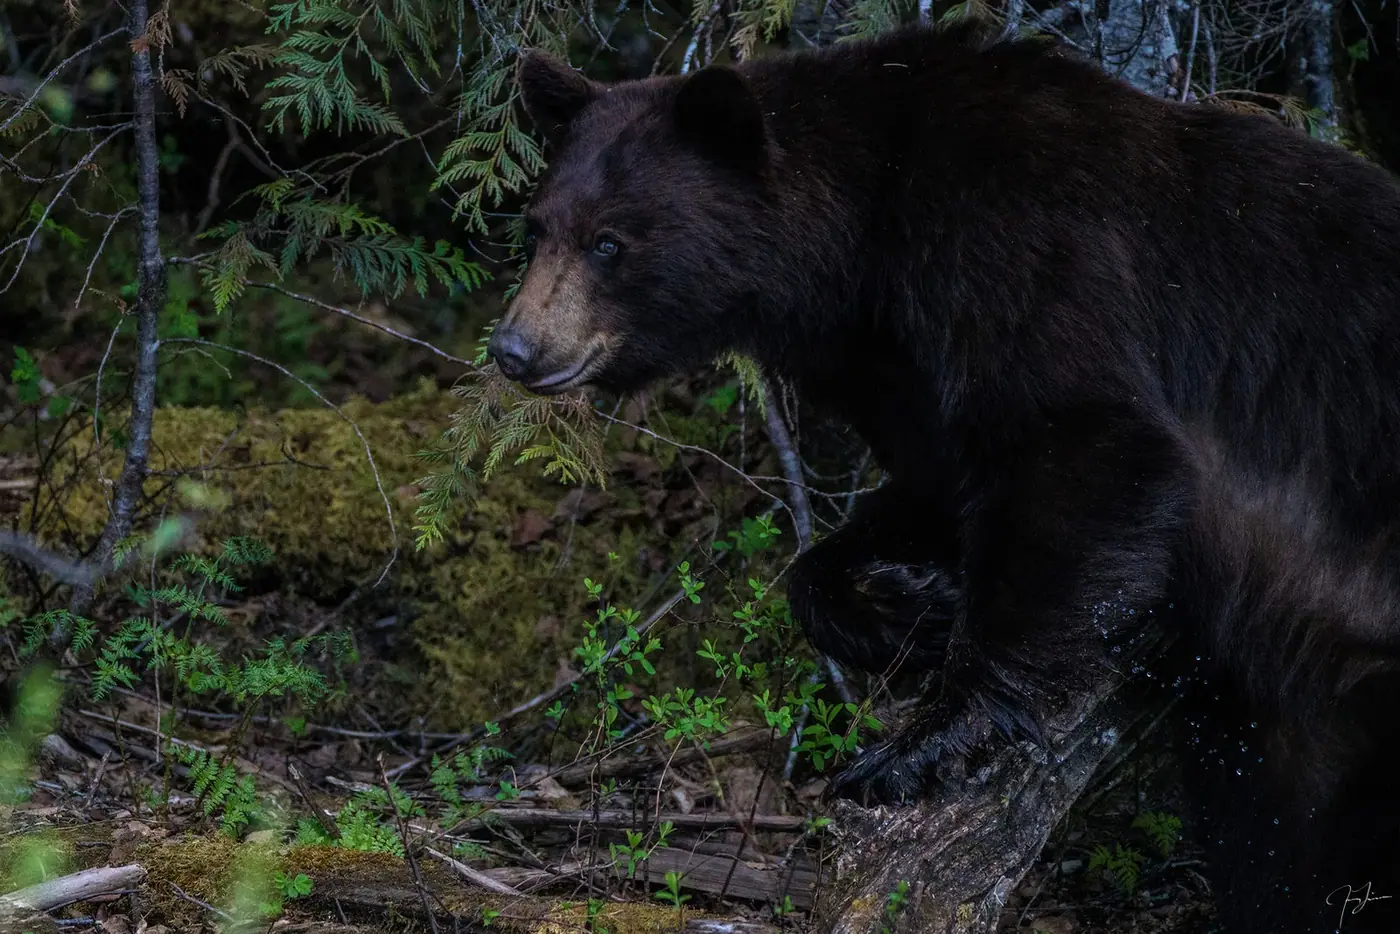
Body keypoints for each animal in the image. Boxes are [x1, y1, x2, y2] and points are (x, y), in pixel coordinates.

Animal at [488, 19, 1400, 933]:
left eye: (610, 242)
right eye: (538, 230)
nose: (514, 349)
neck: (864, 234)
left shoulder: (1023, 244)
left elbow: (1083, 436)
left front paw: (921, 742)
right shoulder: (893, 362)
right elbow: (928, 491)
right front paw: (910, 605)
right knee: (1276, 832)